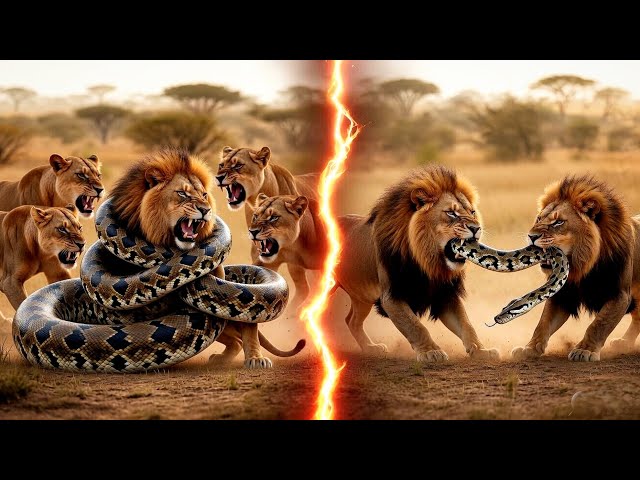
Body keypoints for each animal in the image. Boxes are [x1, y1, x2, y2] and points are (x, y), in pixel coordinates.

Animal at [110, 147, 304, 368]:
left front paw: (255, 358)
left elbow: (249, 326)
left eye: (203, 194)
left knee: (240, 334)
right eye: (182, 193)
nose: (205, 209)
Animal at [251, 166, 499, 361]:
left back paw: (370, 348)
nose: (476, 228)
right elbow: (416, 326)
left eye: (472, 211)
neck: (428, 261)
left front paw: (481, 351)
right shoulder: (392, 297)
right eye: (451, 213)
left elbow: (466, 324)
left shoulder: (443, 294)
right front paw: (431, 352)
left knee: (351, 320)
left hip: (361, 295)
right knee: (301, 311)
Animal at [512, 174, 640, 362]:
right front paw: (529, 348)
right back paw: (624, 343)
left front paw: (584, 350)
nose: (531, 236)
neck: (582, 267)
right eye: (539, 219)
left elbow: (599, 324)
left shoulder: (620, 295)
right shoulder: (563, 294)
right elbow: (543, 323)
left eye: (558, 222)